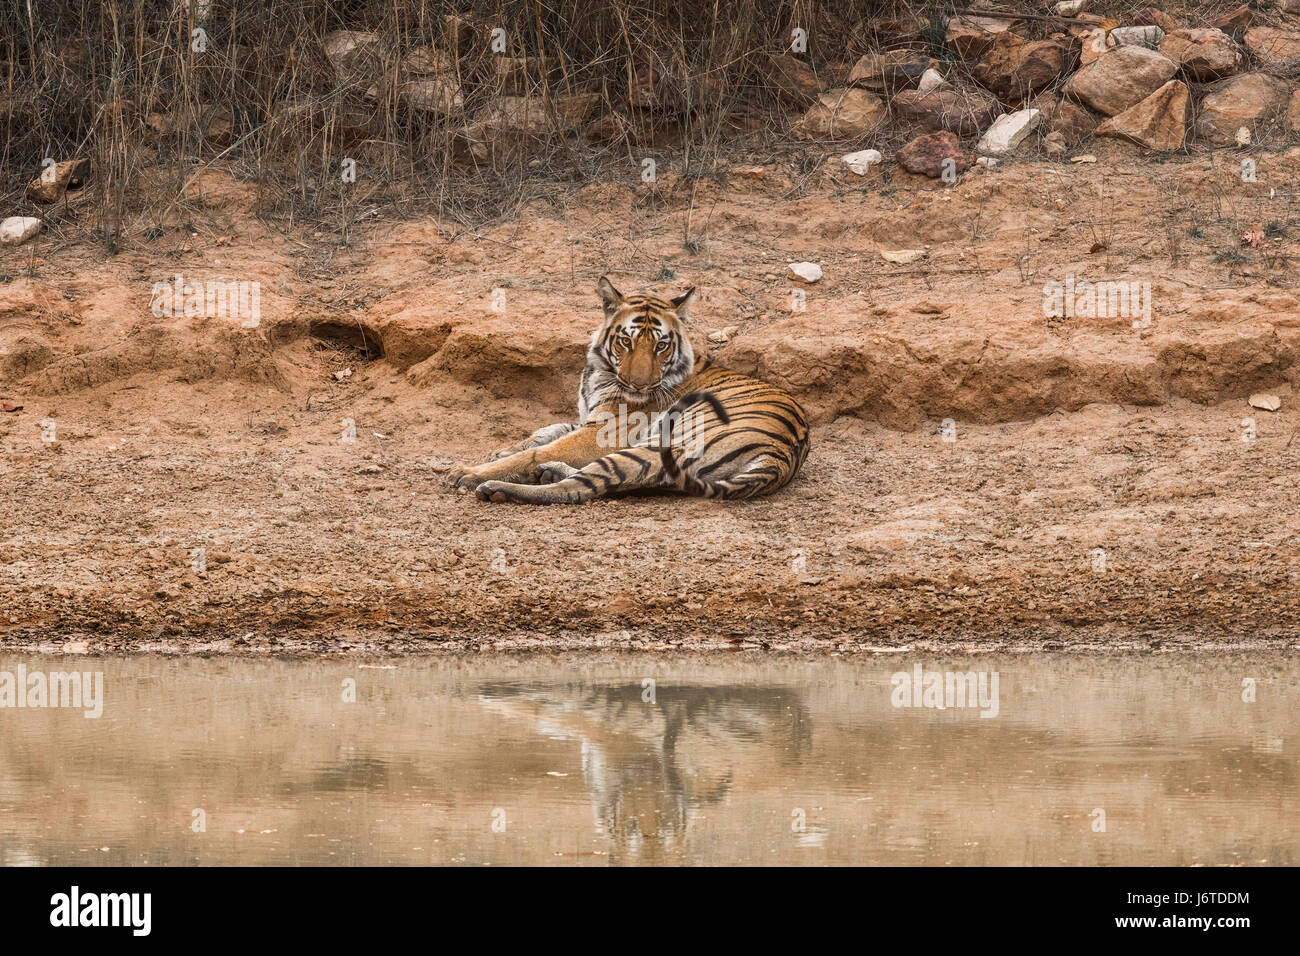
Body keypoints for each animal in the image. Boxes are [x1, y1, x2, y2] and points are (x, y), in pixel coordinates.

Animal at [452, 274, 806, 504]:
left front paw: (469, 471)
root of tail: (782, 456)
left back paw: (497, 487)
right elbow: (546, 433)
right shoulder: (588, 419)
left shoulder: (607, 430)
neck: (598, 372)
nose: (641, 385)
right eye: (626, 341)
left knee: (581, 489)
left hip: (662, 444)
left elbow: (540, 449)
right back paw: (548, 472)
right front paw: (502, 450)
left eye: (661, 345)